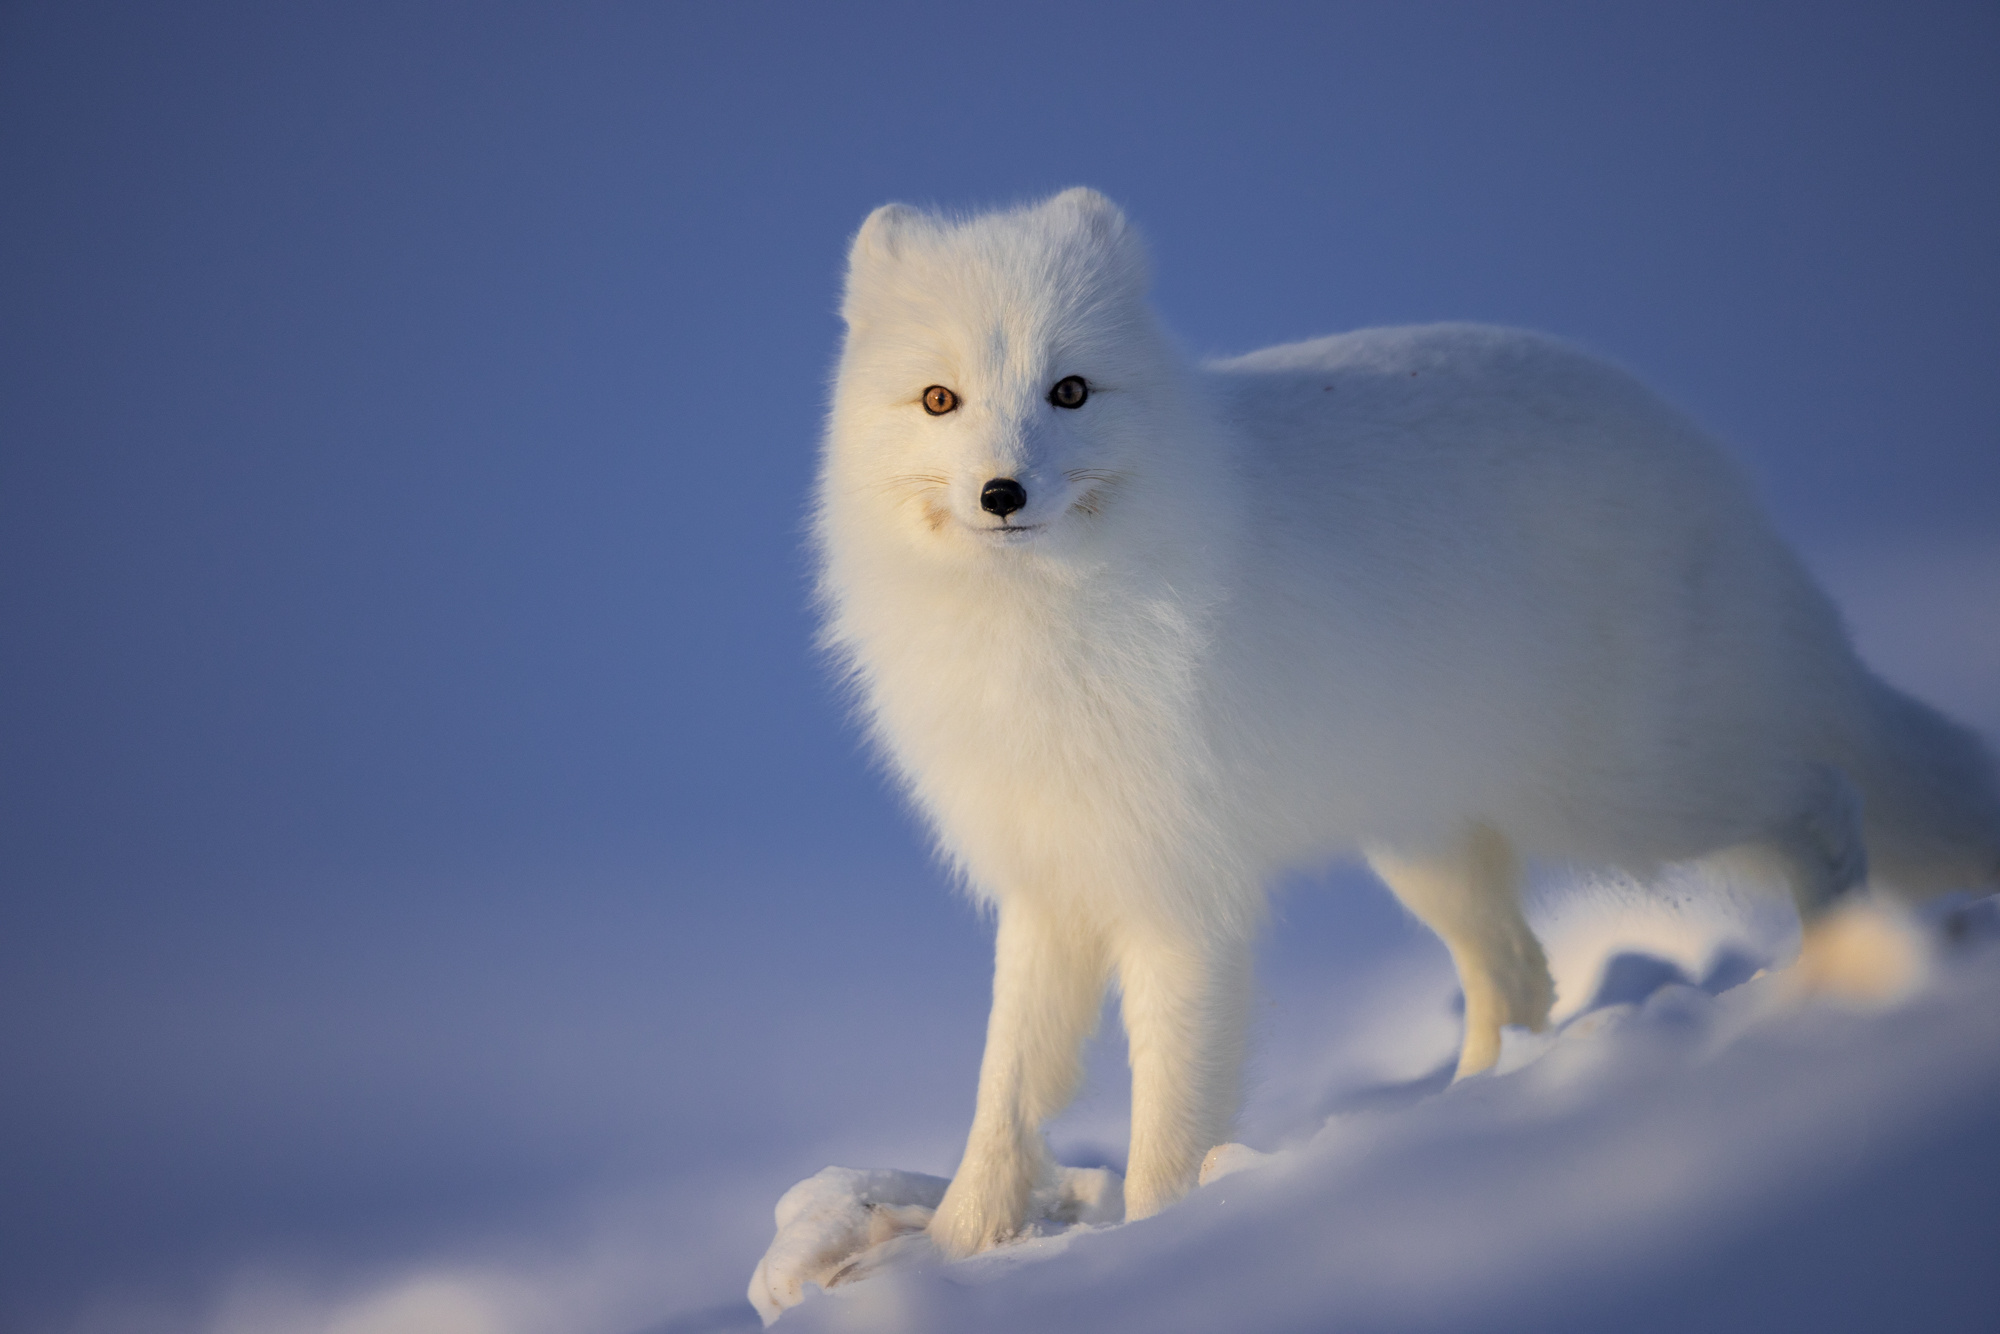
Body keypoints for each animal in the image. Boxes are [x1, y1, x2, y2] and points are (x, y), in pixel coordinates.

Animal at [811, 187, 2000, 1259]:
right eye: (938, 399)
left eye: (1068, 389)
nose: (1001, 492)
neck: (1040, 628)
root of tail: (1714, 469)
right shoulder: (1049, 874)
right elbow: (1006, 1087)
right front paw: (958, 1247)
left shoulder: (1181, 889)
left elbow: (1168, 1110)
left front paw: (1149, 1246)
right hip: (1431, 844)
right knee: (1519, 975)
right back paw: (1464, 1120)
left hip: (1633, 792)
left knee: (1824, 800)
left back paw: (1838, 968)